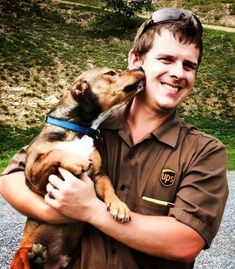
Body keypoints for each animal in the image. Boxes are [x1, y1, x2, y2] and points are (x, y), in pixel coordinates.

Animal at [11, 66, 145, 266]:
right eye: (111, 73)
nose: (140, 67)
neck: (79, 130)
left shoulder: (99, 175)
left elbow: (109, 189)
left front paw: (119, 206)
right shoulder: (34, 175)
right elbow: (52, 154)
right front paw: (76, 160)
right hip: (19, 256)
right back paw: (34, 255)